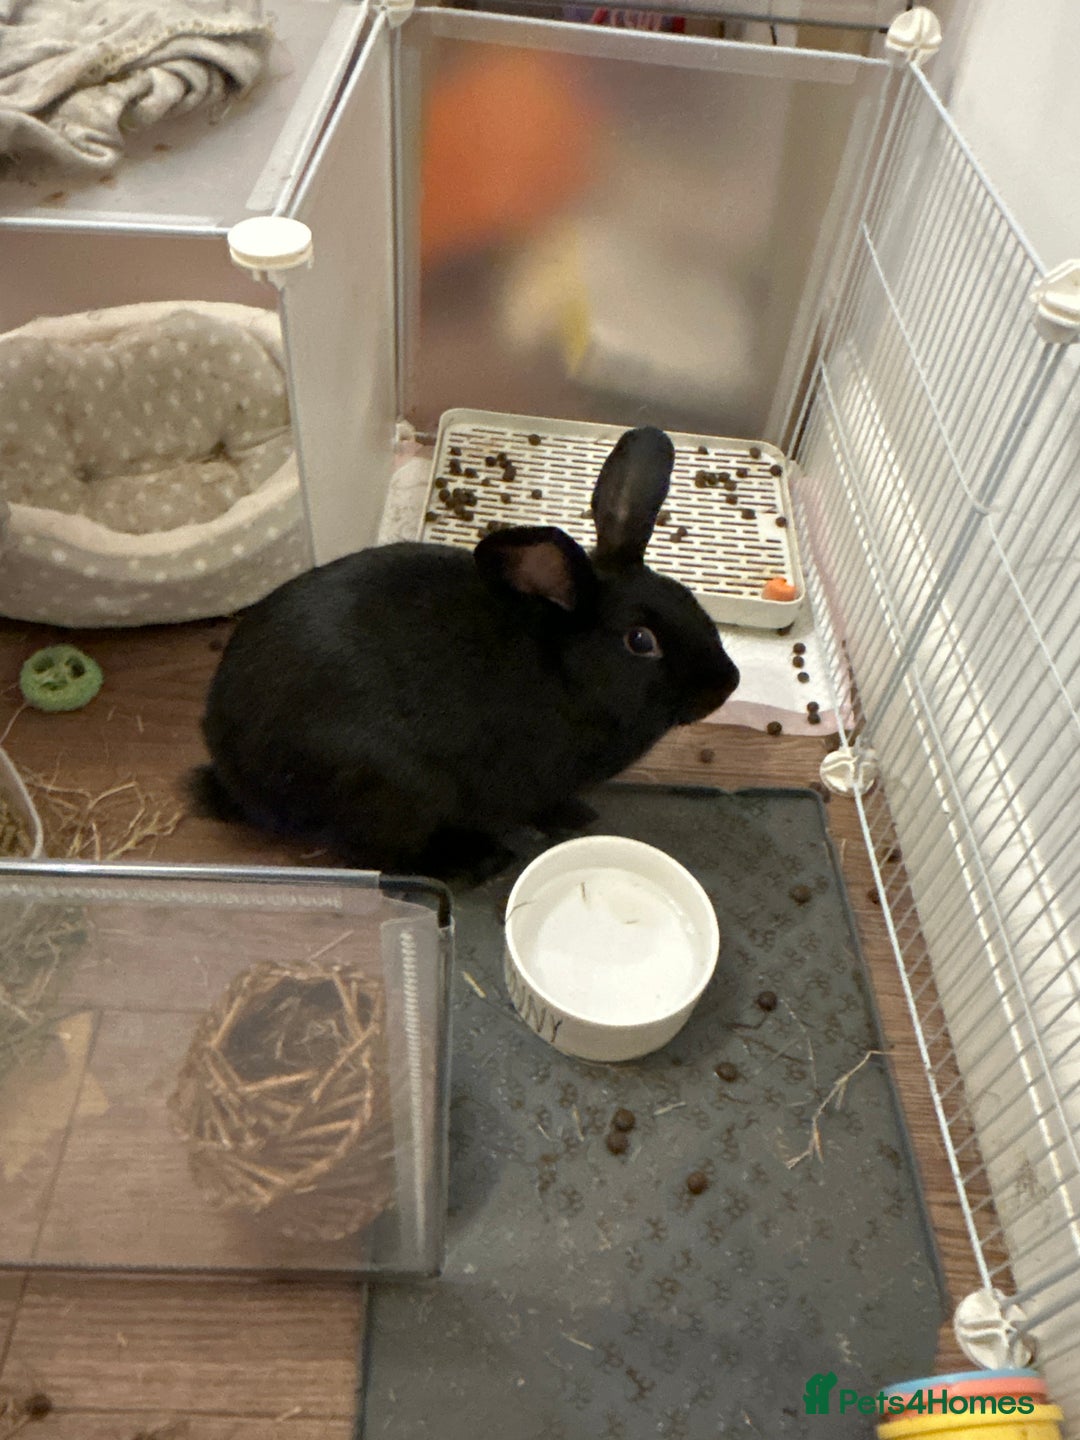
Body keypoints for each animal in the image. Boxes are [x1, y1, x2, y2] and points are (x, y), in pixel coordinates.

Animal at [192, 426, 739, 876]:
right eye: (641, 641)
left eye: (689, 598)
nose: (727, 684)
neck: (567, 671)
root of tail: (234, 774)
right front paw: (568, 819)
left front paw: (580, 814)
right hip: (397, 791)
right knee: (385, 855)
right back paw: (479, 861)